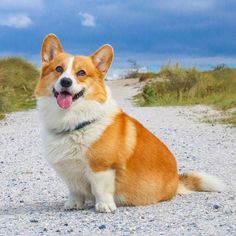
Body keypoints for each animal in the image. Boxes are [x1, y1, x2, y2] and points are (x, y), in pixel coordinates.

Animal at [34, 34, 224, 213]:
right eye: (59, 69)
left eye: (81, 73)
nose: (66, 81)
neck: (74, 122)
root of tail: (177, 181)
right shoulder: (70, 173)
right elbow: (75, 191)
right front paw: (73, 204)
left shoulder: (102, 167)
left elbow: (101, 189)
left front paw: (104, 206)